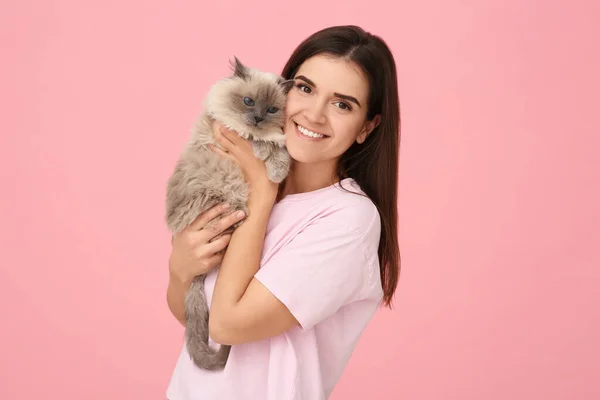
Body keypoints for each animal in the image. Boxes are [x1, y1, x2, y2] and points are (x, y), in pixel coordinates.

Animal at [164, 57, 296, 370]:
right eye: (248, 102)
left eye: (272, 110)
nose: (257, 118)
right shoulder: (235, 133)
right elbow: (264, 144)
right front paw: (270, 161)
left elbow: (280, 150)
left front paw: (276, 170)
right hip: (228, 199)